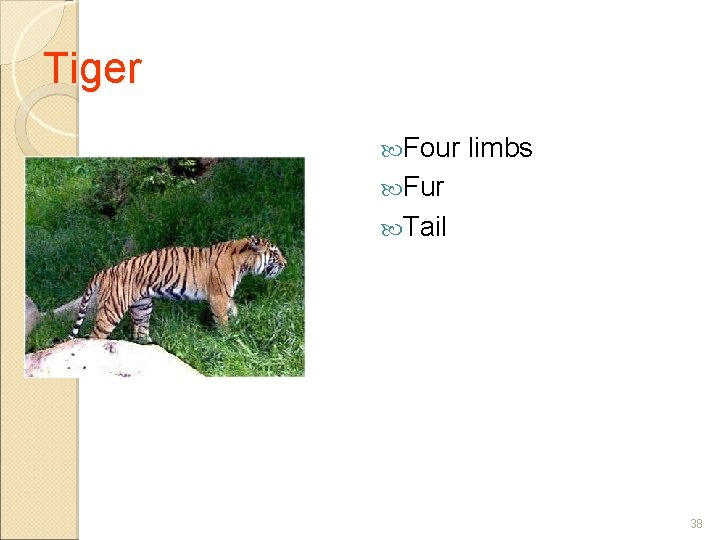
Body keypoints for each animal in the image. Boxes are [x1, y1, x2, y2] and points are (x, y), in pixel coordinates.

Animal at [67, 236, 286, 343]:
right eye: (274, 253)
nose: (285, 263)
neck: (244, 263)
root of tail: (105, 270)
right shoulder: (218, 297)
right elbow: (222, 320)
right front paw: (228, 336)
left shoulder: (227, 296)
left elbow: (234, 310)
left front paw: (239, 322)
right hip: (112, 310)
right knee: (94, 337)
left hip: (142, 307)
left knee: (139, 332)